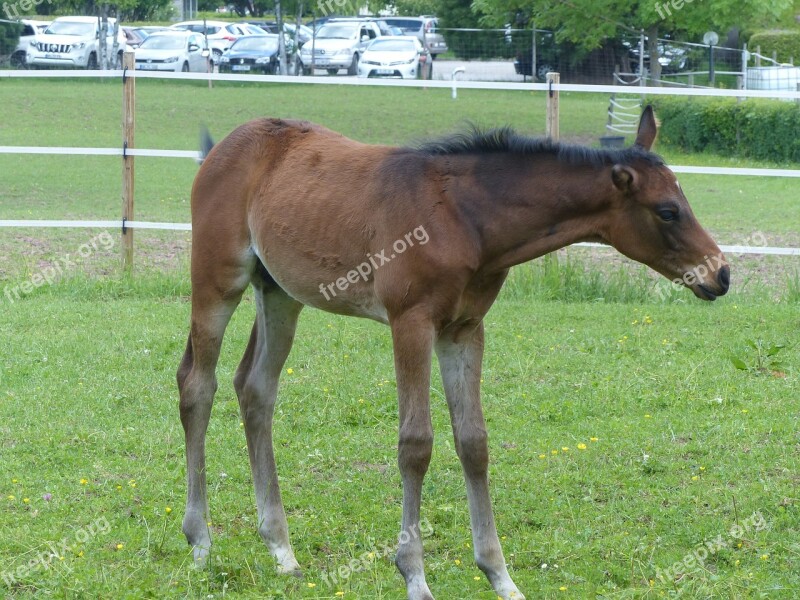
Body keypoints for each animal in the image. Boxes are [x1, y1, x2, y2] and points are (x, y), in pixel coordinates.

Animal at [180, 108, 732, 600]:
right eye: (668, 210)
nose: (721, 273)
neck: (466, 218)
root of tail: (224, 147)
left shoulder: (464, 329)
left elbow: (473, 442)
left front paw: (500, 576)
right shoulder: (411, 322)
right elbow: (416, 444)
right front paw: (414, 577)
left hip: (278, 292)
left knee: (255, 388)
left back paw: (281, 550)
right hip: (217, 280)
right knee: (197, 384)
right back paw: (201, 542)